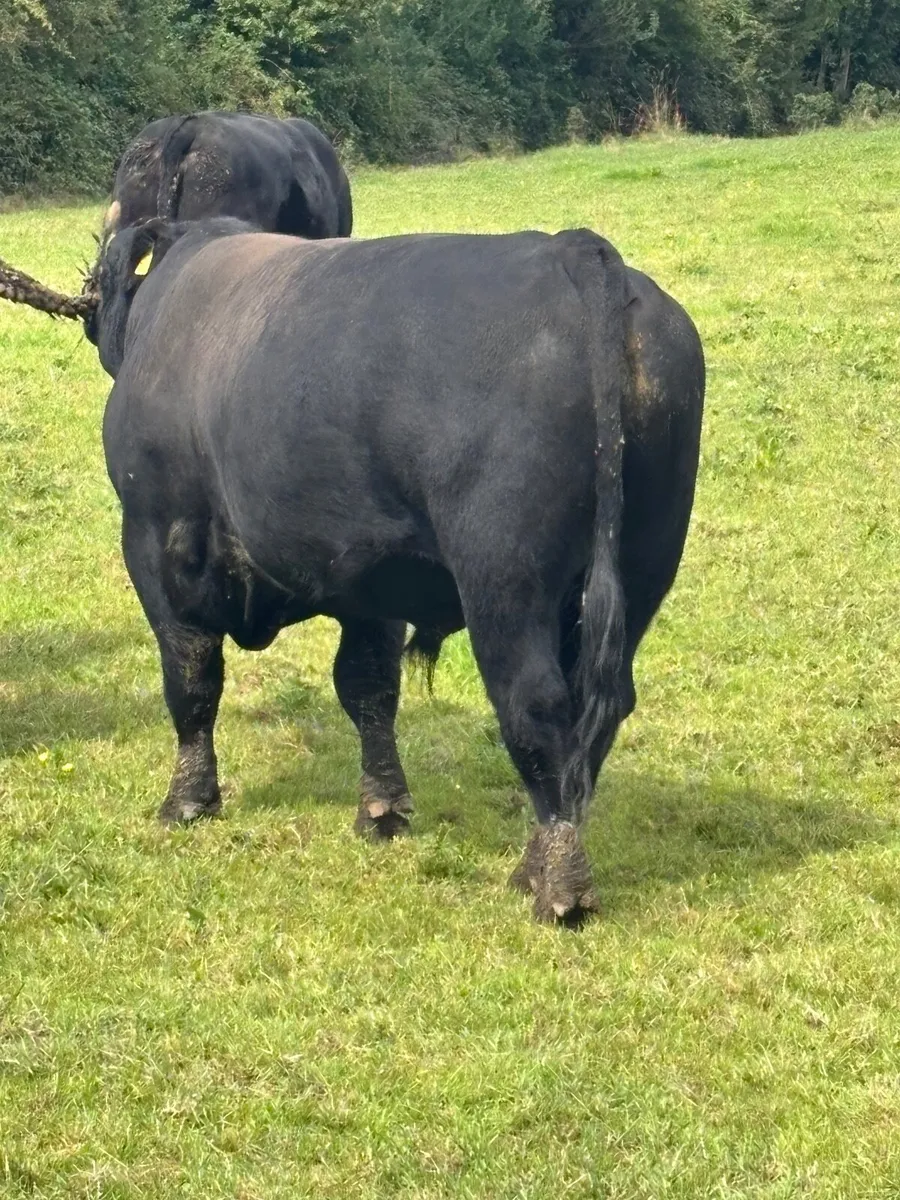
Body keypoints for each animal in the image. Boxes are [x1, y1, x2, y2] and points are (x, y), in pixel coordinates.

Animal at [0, 219, 704, 923]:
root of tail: (572, 250)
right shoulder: (372, 578)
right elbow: (367, 687)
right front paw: (382, 809)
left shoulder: (158, 542)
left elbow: (192, 680)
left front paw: (189, 802)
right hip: (639, 567)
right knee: (595, 712)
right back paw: (536, 864)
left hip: (505, 578)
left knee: (538, 707)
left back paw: (558, 887)